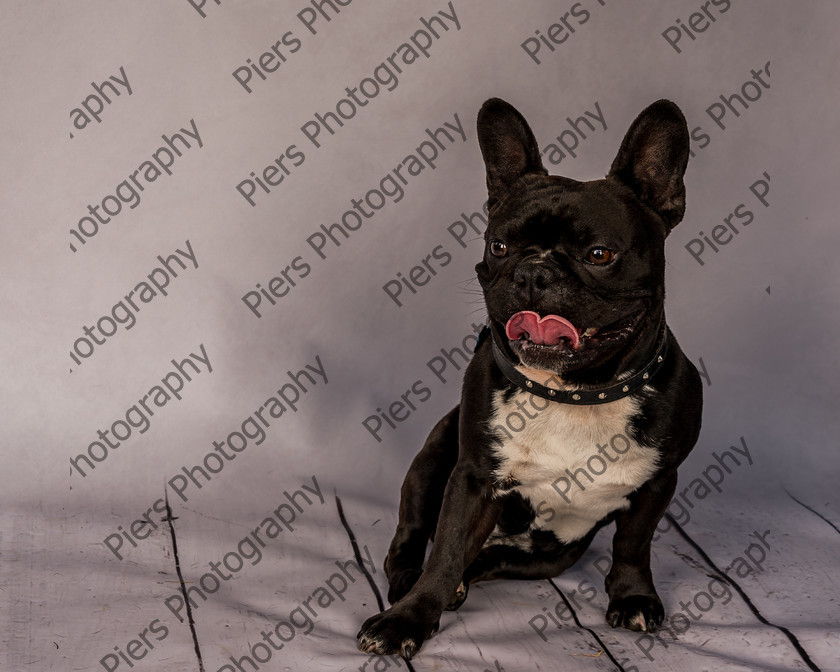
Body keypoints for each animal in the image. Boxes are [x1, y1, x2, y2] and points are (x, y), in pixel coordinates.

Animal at [358, 97, 704, 660]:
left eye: (599, 254)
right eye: (499, 246)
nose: (534, 271)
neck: (575, 393)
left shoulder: (659, 480)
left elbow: (634, 543)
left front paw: (633, 596)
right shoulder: (473, 479)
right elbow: (445, 550)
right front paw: (408, 618)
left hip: (552, 554)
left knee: (488, 559)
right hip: (431, 459)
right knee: (412, 541)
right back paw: (409, 583)